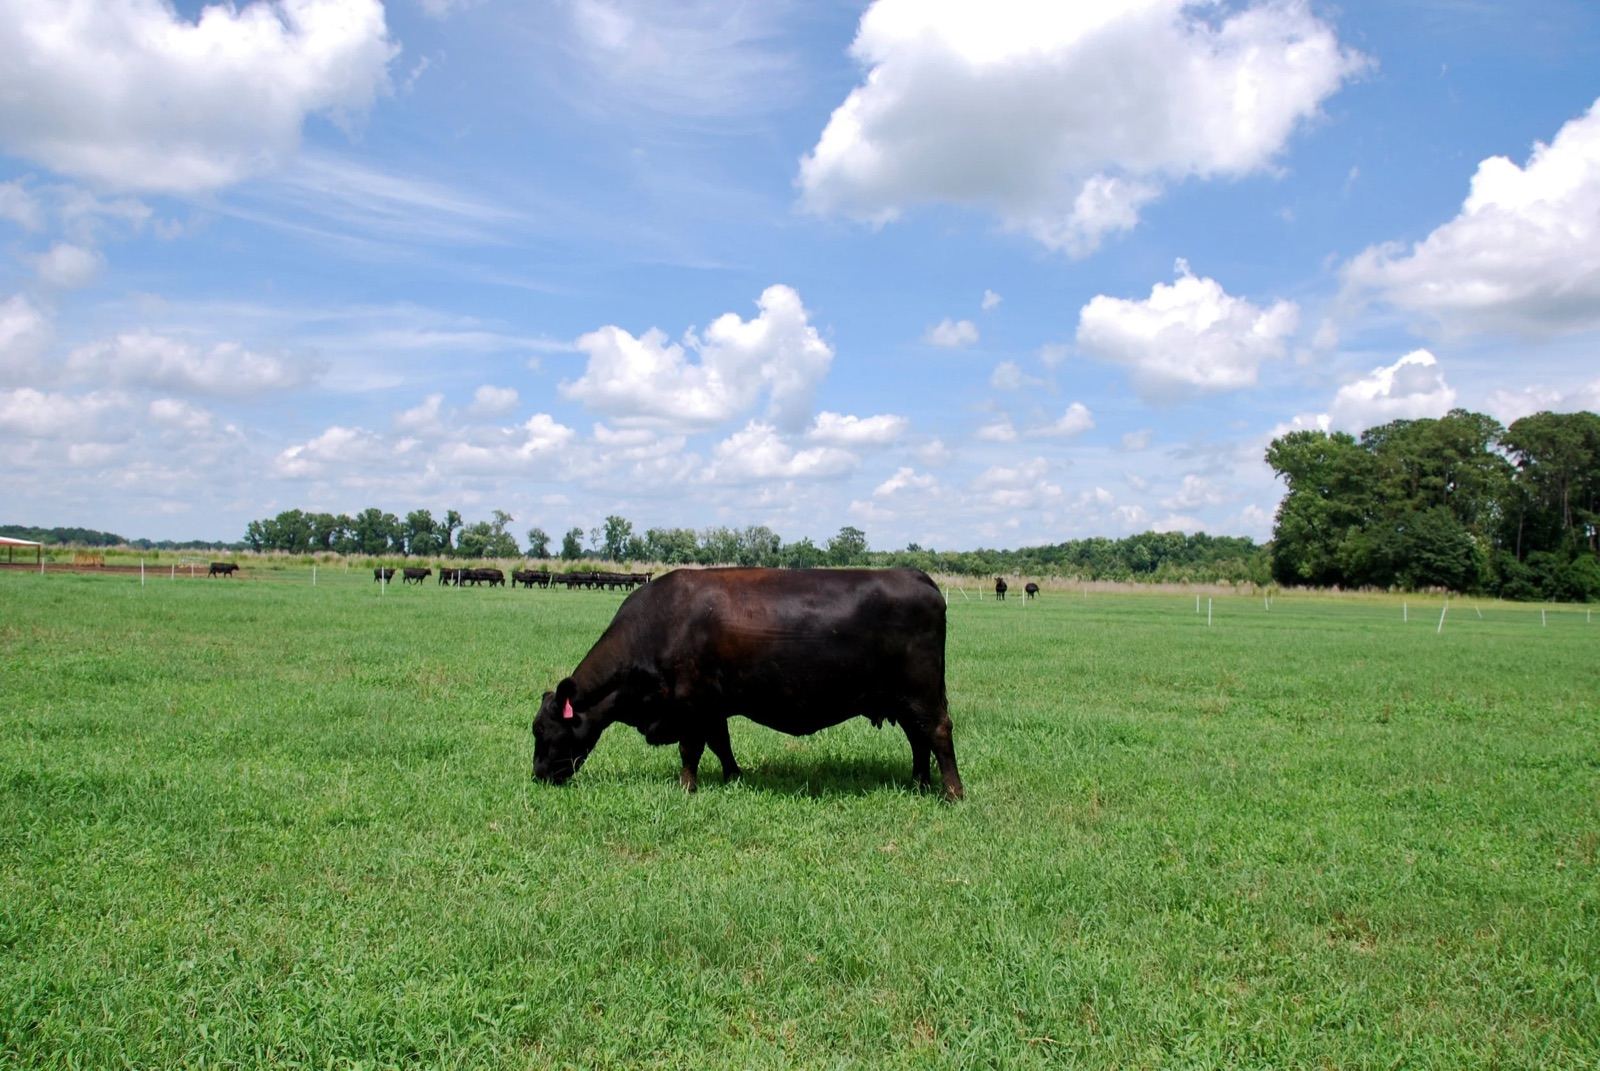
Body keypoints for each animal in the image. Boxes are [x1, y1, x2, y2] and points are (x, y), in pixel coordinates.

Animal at [530, 568, 964, 800]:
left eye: (545, 731)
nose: (539, 776)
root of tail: (915, 575)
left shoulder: (690, 703)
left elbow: (691, 748)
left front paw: (687, 788)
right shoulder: (713, 706)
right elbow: (720, 743)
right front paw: (734, 776)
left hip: (922, 692)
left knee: (938, 733)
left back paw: (952, 792)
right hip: (902, 699)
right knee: (918, 739)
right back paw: (919, 783)